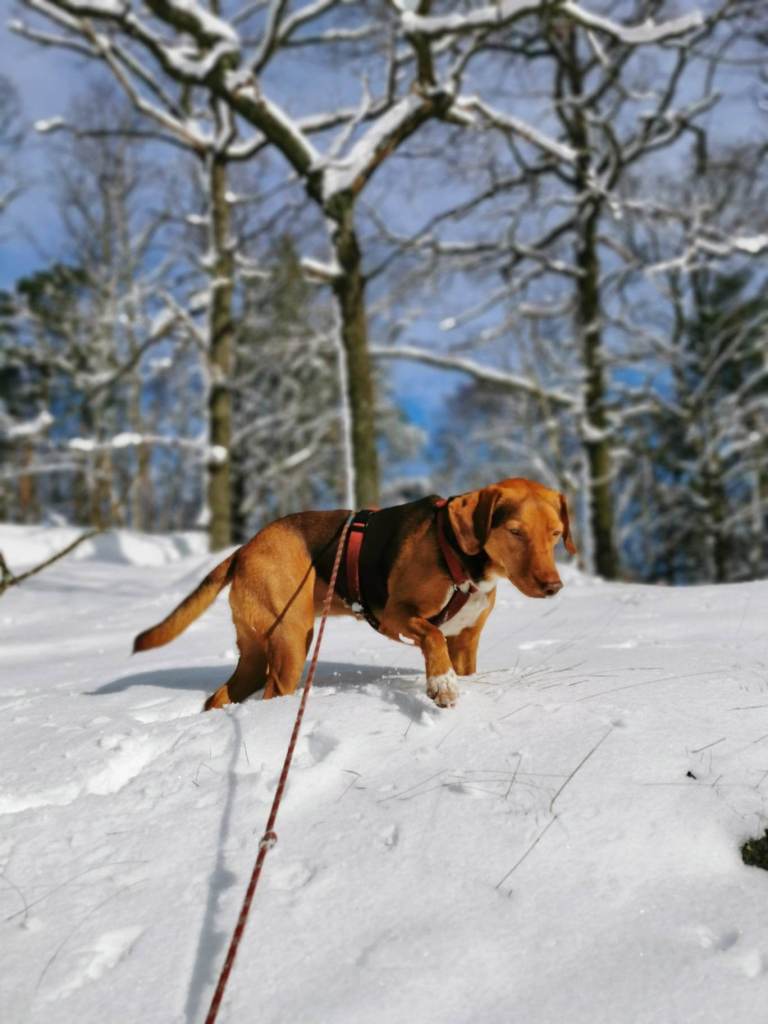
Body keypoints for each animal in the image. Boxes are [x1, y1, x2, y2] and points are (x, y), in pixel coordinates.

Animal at [133, 478, 576, 710]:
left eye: (556, 534)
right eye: (515, 532)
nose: (553, 587)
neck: (460, 561)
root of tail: (244, 549)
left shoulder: (466, 641)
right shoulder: (397, 615)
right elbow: (433, 637)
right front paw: (441, 685)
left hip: (257, 651)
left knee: (222, 695)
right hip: (291, 641)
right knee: (271, 691)